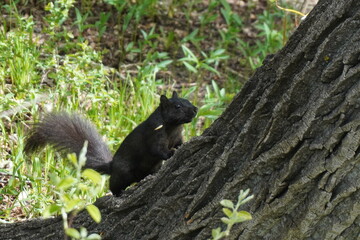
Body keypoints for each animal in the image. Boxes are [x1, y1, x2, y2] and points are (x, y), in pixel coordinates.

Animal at [25, 91, 198, 196]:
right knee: (114, 185)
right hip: (124, 173)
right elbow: (157, 149)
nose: (195, 109)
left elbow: (179, 143)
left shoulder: (177, 137)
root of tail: (112, 165)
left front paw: (184, 145)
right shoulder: (154, 135)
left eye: (187, 100)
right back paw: (118, 194)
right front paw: (170, 153)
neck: (173, 127)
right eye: (177, 106)